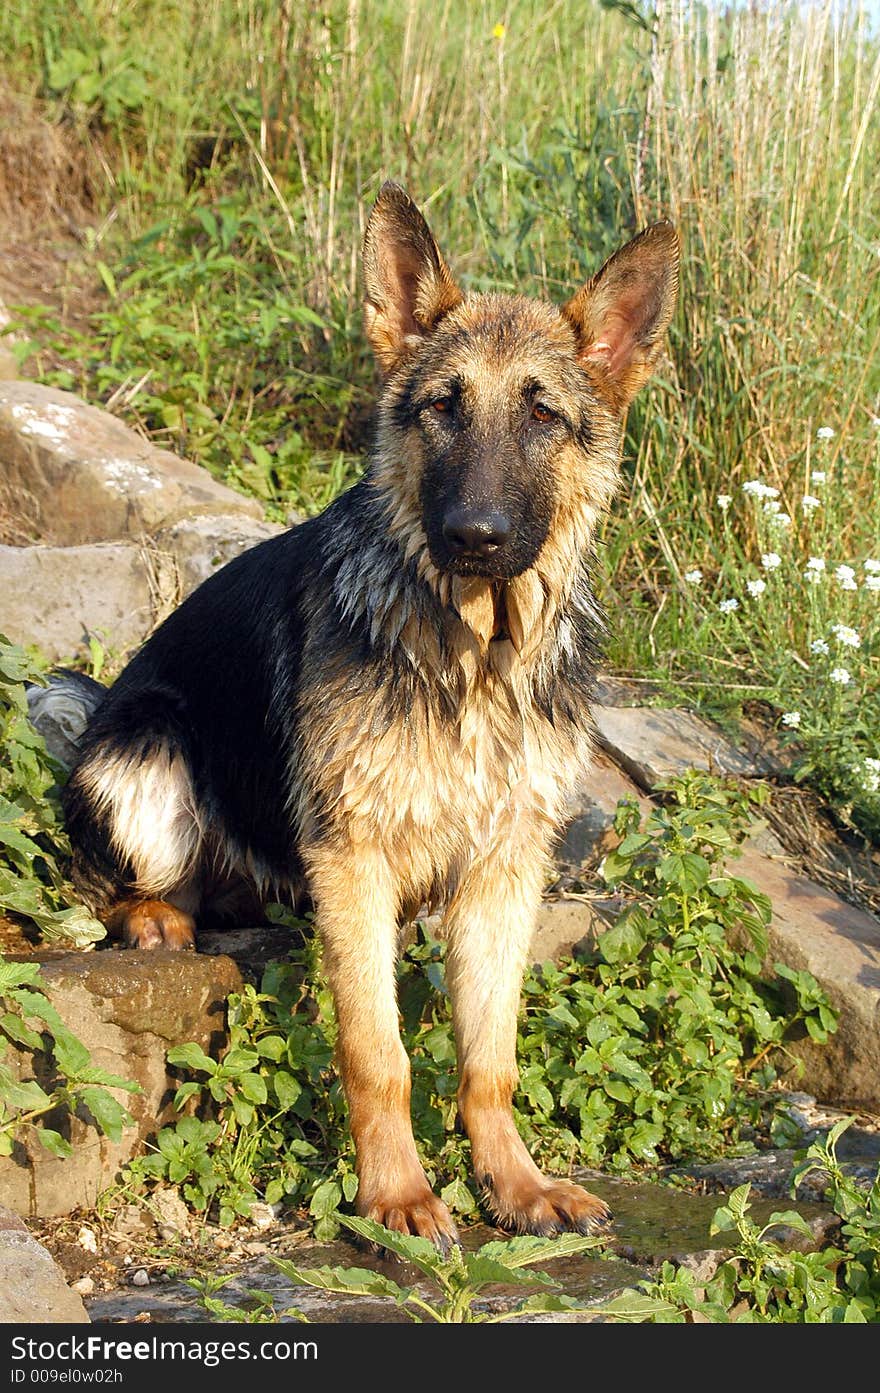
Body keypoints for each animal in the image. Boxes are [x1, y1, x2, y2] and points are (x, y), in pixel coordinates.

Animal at [61, 182, 679, 1242]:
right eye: (441, 408)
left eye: (542, 414)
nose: (476, 535)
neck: (474, 657)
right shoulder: (355, 863)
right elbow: (377, 1053)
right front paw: (395, 1194)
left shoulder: (504, 873)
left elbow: (490, 1058)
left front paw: (514, 1182)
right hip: (145, 746)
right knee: (123, 877)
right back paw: (155, 918)